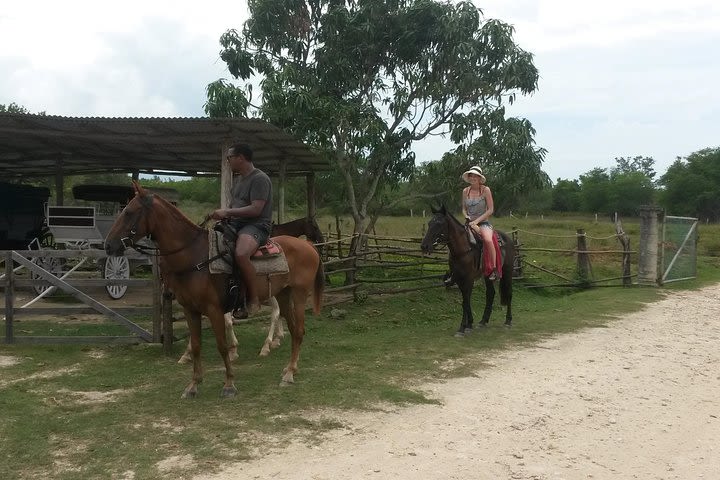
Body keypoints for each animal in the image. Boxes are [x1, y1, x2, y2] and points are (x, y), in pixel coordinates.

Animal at [103, 182, 324, 400]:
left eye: (129, 212)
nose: (108, 245)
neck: (195, 257)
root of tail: (309, 246)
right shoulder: (191, 310)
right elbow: (197, 345)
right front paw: (193, 385)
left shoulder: (215, 309)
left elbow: (222, 345)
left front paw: (229, 384)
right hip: (283, 294)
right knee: (291, 328)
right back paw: (287, 366)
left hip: (299, 294)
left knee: (298, 330)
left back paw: (287, 371)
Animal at [420, 204, 516, 336]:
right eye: (429, 223)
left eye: (439, 223)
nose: (424, 246)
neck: (464, 250)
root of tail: (508, 239)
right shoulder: (459, 279)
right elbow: (466, 301)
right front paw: (469, 324)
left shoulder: (468, 279)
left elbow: (465, 302)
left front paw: (462, 328)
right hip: (487, 275)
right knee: (490, 294)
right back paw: (483, 321)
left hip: (507, 271)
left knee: (509, 293)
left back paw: (508, 321)